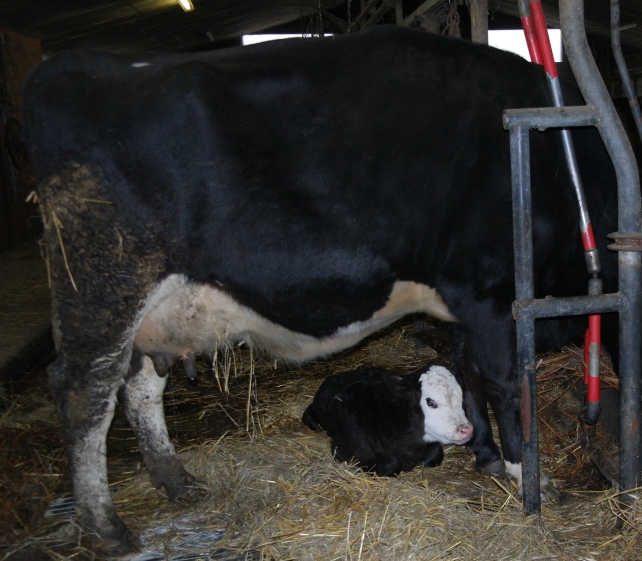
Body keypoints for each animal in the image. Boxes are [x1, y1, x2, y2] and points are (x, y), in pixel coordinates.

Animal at [302, 366, 473, 476]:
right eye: (431, 402)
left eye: (461, 398)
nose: (467, 430)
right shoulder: (345, 451)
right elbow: (391, 466)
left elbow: (435, 454)